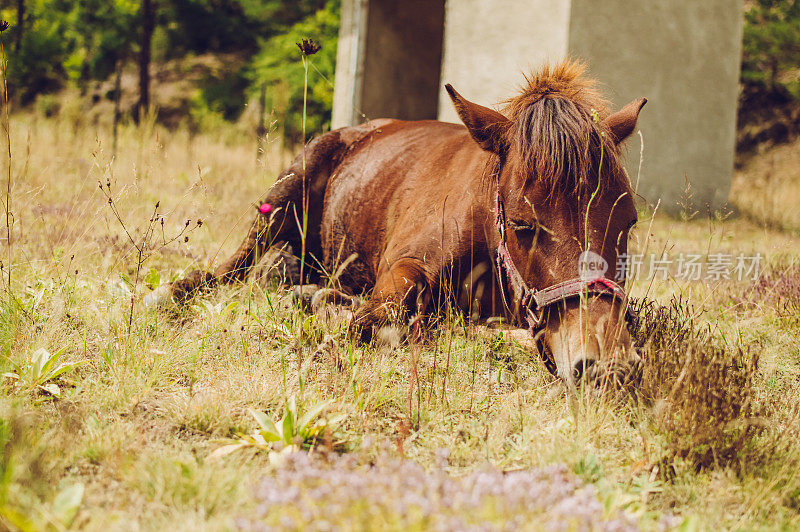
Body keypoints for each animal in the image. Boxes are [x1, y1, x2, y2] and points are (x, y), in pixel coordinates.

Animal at [161, 60, 644, 388]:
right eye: (524, 224)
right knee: (228, 269)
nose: (607, 365)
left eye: (628, 222)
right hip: (280, 200)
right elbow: (384, 317)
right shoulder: (405, 265)